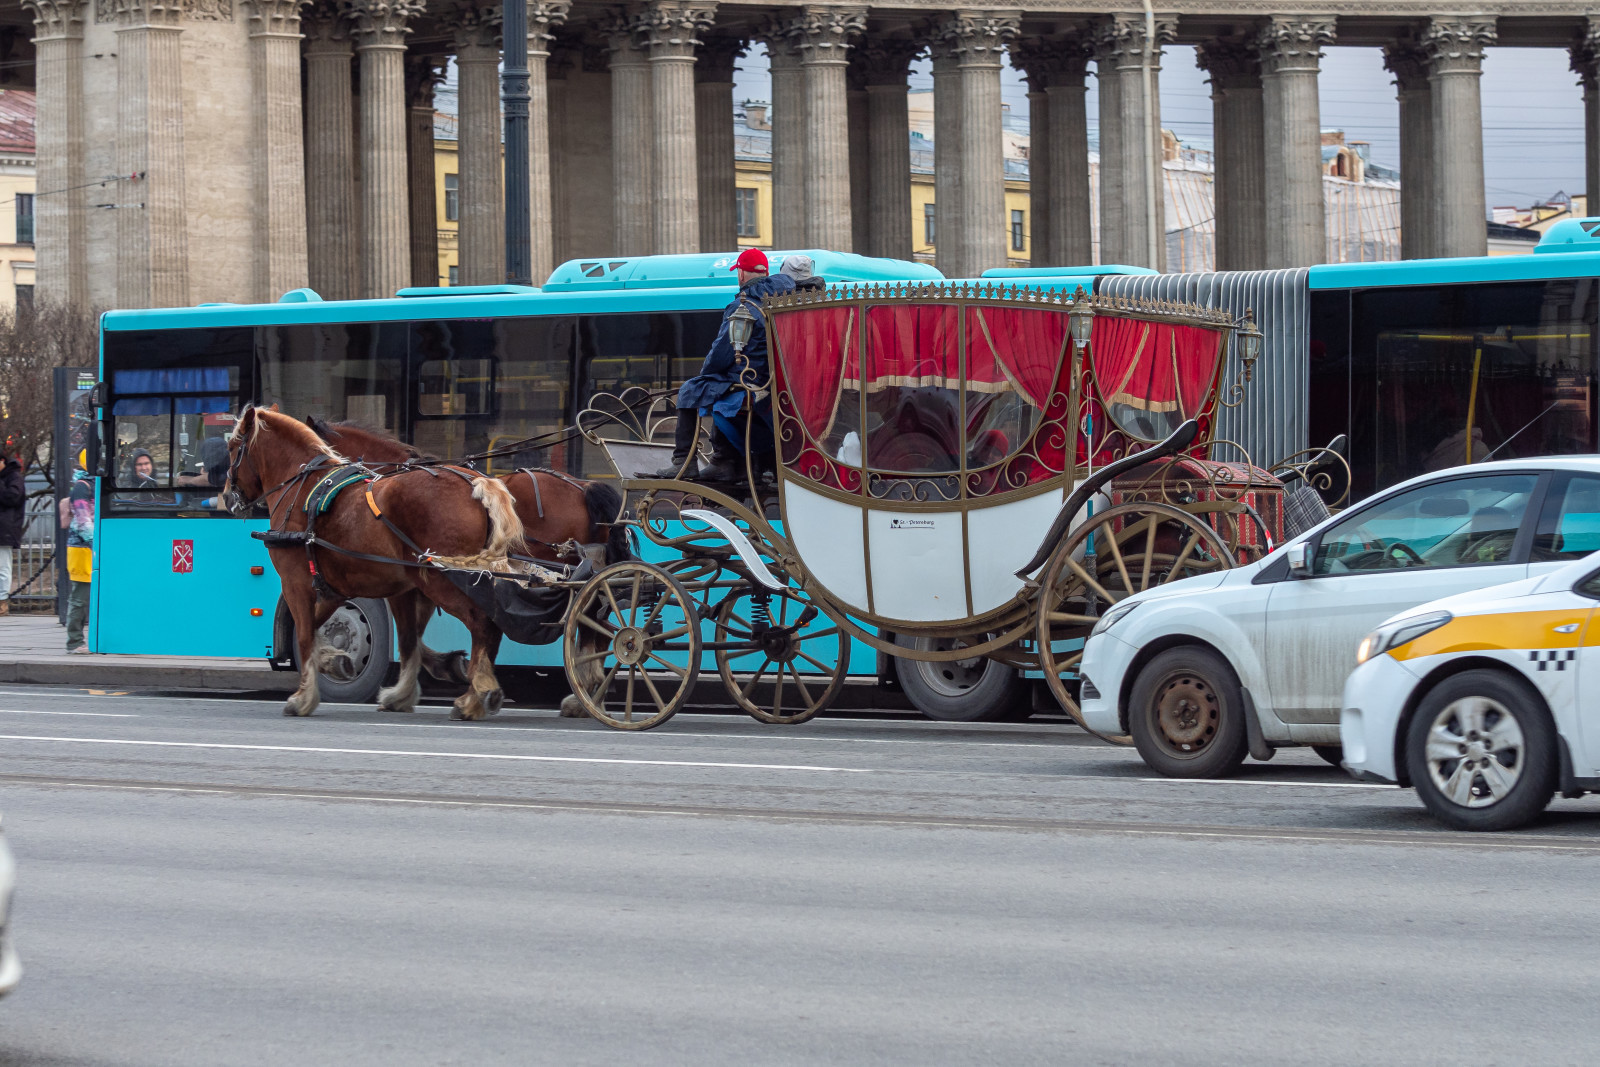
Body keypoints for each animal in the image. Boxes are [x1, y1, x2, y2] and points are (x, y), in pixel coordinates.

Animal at [224, 404, 524, 723]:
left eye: (231, 447)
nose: (228, 496)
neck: (303, 488)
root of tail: (476, 483)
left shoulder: (296, 582)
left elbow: (305, 635)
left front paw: (303, 697)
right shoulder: (360, 588)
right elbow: (405, 639)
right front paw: (375, 680)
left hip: (444, 580)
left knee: (483, 623)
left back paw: (474, 696)